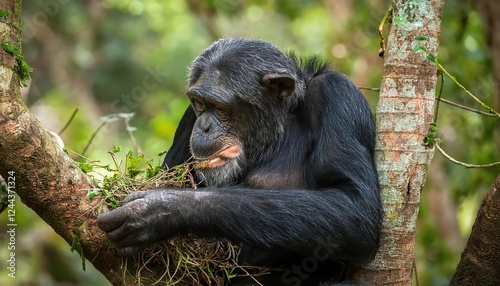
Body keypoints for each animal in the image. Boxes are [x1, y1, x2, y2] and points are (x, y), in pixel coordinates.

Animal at [97, 38, 380, 286]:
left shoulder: (338, 96)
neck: (280, 125)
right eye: (199, 103)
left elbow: (352, 203)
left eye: (220, 108)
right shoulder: (189, 117)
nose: (204, 126)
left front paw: (162, 208)